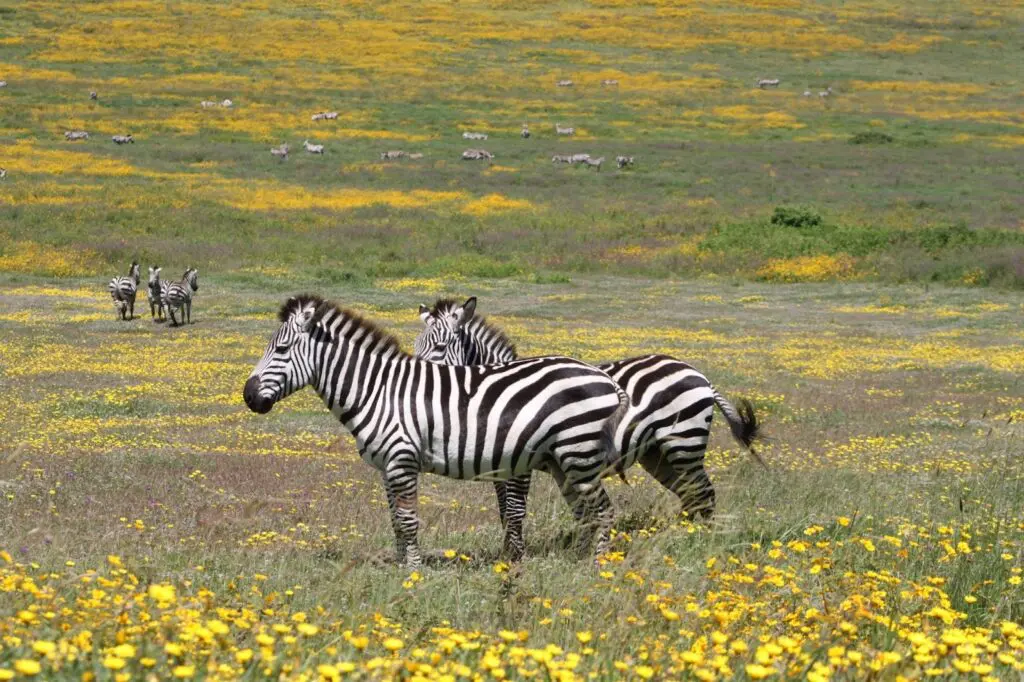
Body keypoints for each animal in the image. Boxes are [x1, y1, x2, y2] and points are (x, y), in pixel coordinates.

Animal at [244, 295, 631, 566]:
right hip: (562, 461)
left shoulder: (402, 460)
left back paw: (596, 567)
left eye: (281, 348)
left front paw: (414, 574)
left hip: (578, 454)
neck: (378, 390)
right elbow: (396, 520)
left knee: (604, 511)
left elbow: (409, 520)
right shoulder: (387, 466)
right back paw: (578, 560)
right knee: (585, 513)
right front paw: (401, 566)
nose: (248, 397)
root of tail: (602, 376)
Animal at [414, 297, 764, 524]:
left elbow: (514, 512)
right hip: (657, 453)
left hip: (684, 442)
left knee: (704, 493)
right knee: (691, 494)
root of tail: (698, 373)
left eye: (440, 348)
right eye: (416, 347)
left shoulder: (519, 464)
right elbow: (505, 513)